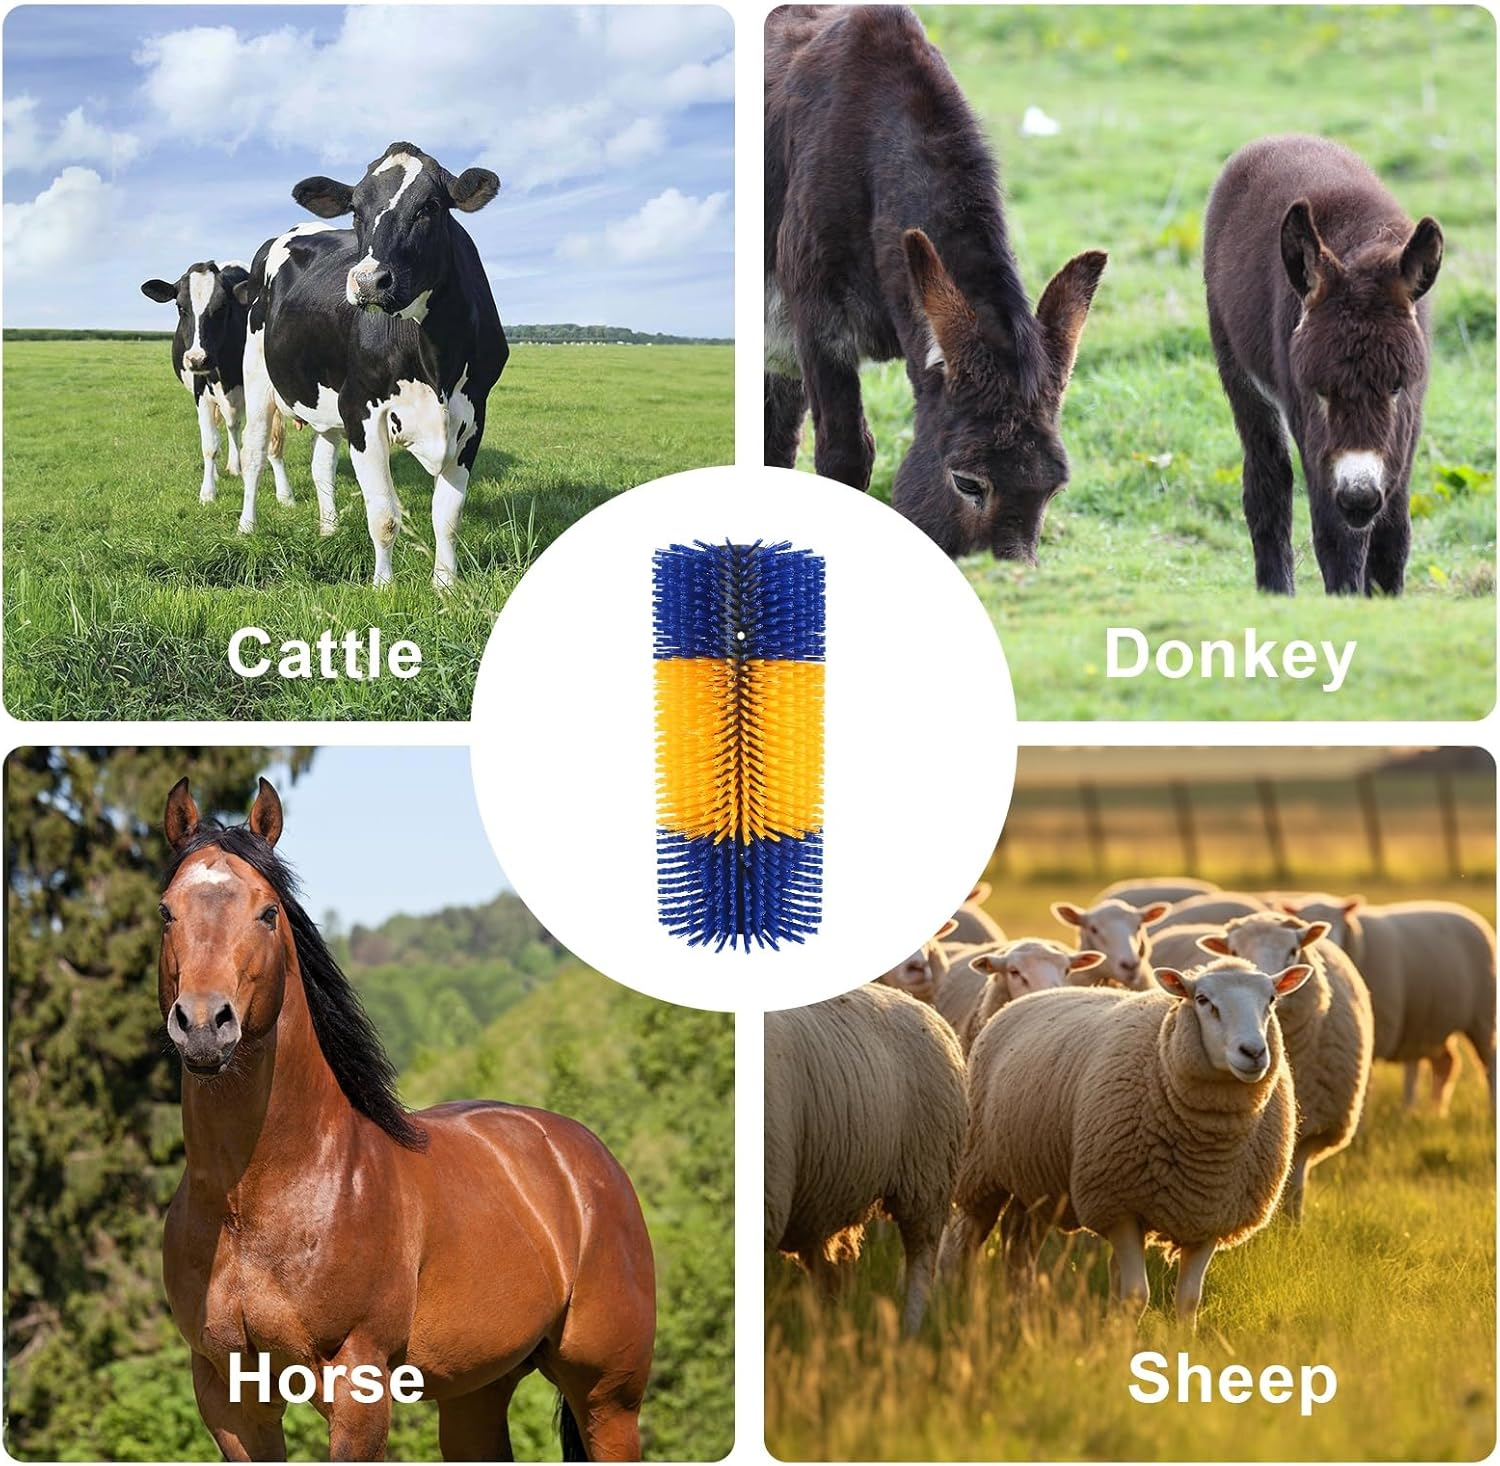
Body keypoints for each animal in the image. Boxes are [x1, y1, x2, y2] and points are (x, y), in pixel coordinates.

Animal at [139, 262, 290, 507]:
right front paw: (208, 492)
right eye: (180, 307)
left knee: (233, 425)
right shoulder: (200, 394)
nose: (198, 359)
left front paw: (285, 494)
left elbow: (273, 443)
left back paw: (236, 466)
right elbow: (210, 446)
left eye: (222, 307)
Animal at [157, 777, 655, 1461]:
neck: (256, 1199)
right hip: (477, 1392)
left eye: (268, 912)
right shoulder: (230, 1398)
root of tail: (587, 1160)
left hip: (608, 1398)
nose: (205, 1025)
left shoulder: (358, 1386)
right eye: (166, 911)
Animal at [235, 142, 509, 588]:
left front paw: (445, 587)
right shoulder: (360, 408)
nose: (367, 282)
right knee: (254, 453)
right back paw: (246, 526)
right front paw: (383, 586)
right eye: (356, 210)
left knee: (321, 464)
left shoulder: (472, 416)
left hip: (325, 397)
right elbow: (384, 516)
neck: (436, 362)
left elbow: (448, 517)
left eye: (430, 206)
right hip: (258, 375)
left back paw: (328, 529)